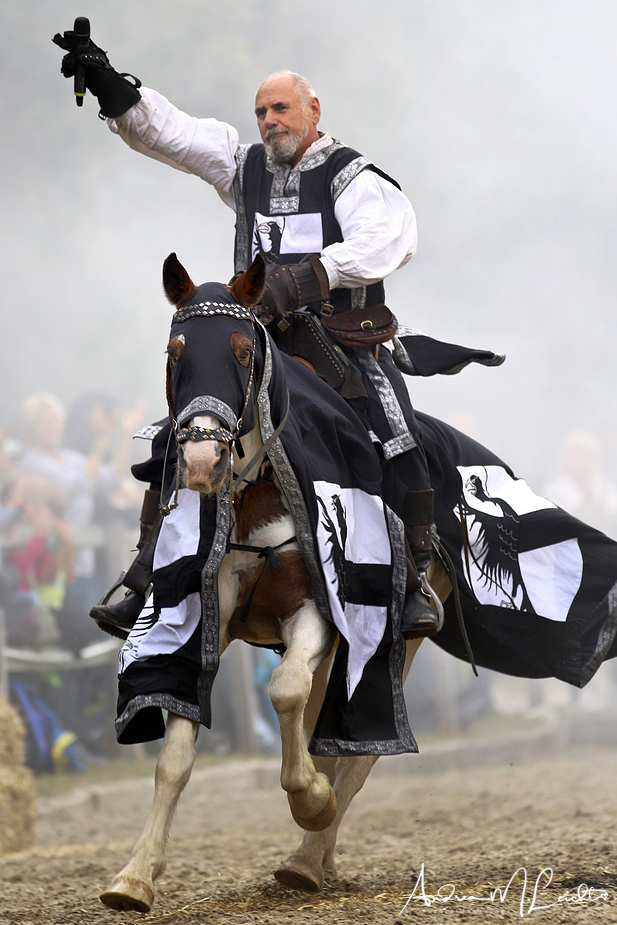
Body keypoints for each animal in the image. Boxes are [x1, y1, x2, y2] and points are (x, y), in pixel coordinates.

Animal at [100, 251, 448, 908]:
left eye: (243, 352)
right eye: (175, 353)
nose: (201, 462)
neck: (256, 484)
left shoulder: (317, 612)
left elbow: (285, 691)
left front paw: (311, 802)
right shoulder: (200, 616)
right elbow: (175, 755)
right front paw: (134, 875)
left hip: (400, 636)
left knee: (355, 754)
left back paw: (309, 853)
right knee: (317, 731)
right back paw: (316, 859)